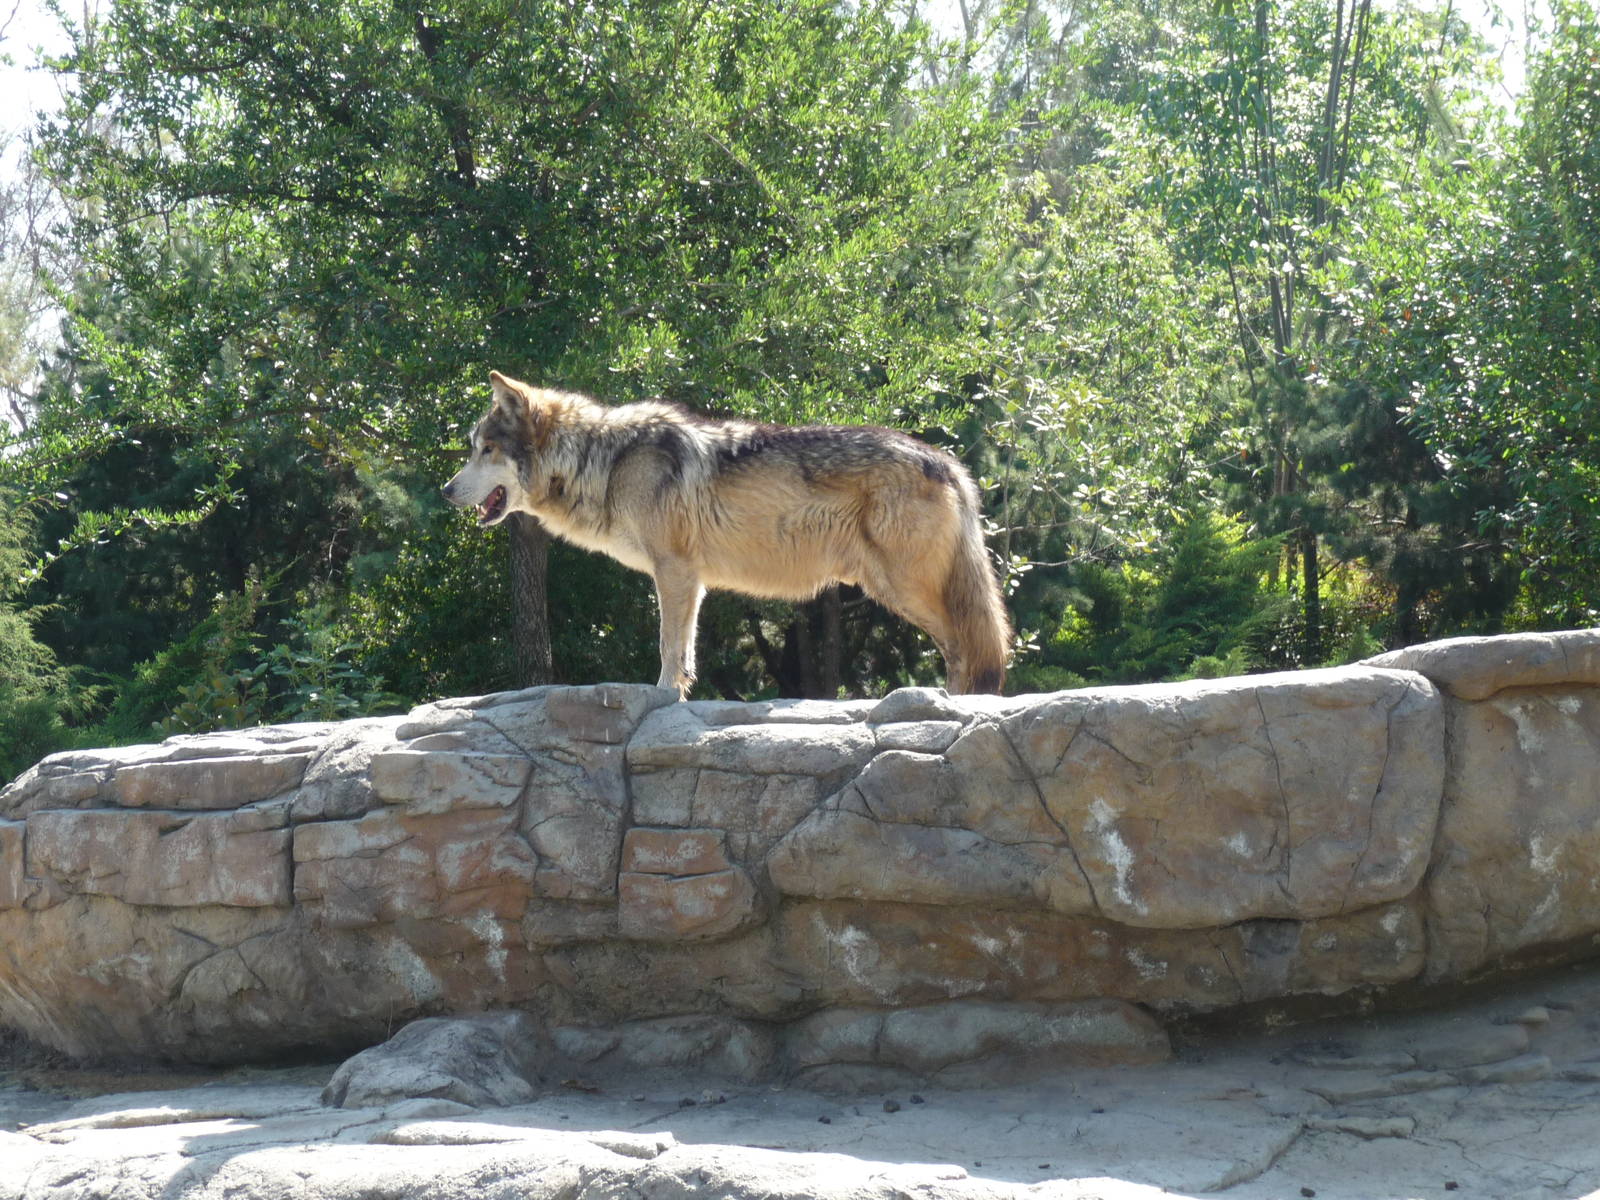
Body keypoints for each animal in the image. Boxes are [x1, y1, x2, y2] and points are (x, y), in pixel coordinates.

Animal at [442, 372, 1011, 698]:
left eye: (486, 449)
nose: (446, 490)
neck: (600, 461)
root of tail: (947, 462)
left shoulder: (673, 571)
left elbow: (668, 646)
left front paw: (661, 696)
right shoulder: (691, 581)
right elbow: (685, 650)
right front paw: (678, 693)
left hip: (903, 587)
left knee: (965, 647)